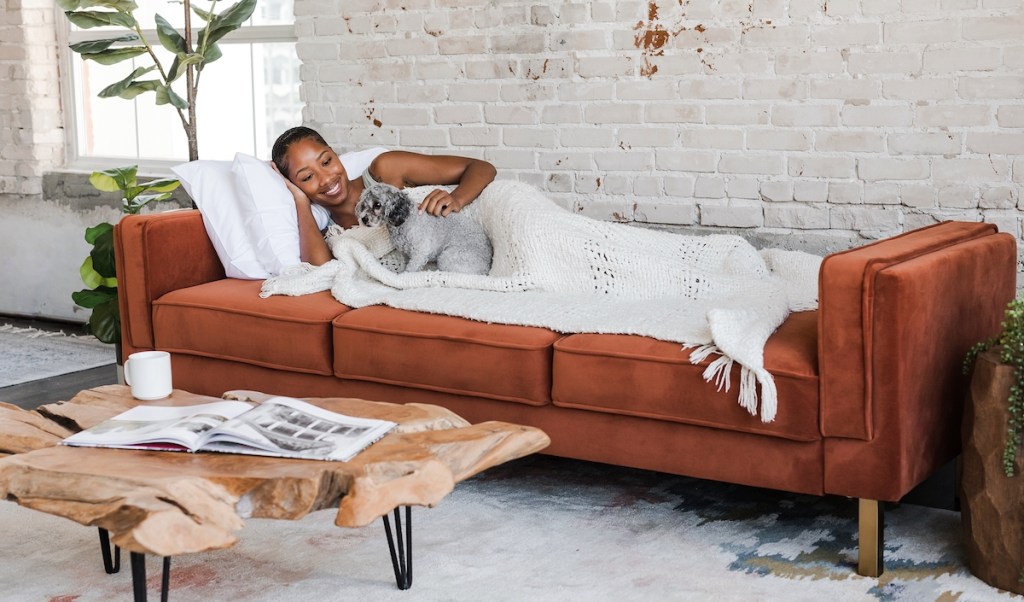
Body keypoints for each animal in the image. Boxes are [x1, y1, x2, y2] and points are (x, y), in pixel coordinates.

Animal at [354, 182, 493, 276]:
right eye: (363, 204)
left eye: (377, 205)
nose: (364, 219)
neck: (405, 221)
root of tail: (486, 268)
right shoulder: (405, 254)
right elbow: (404, 265)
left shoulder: (419, 253)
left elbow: (410, 270)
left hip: (447, 257)